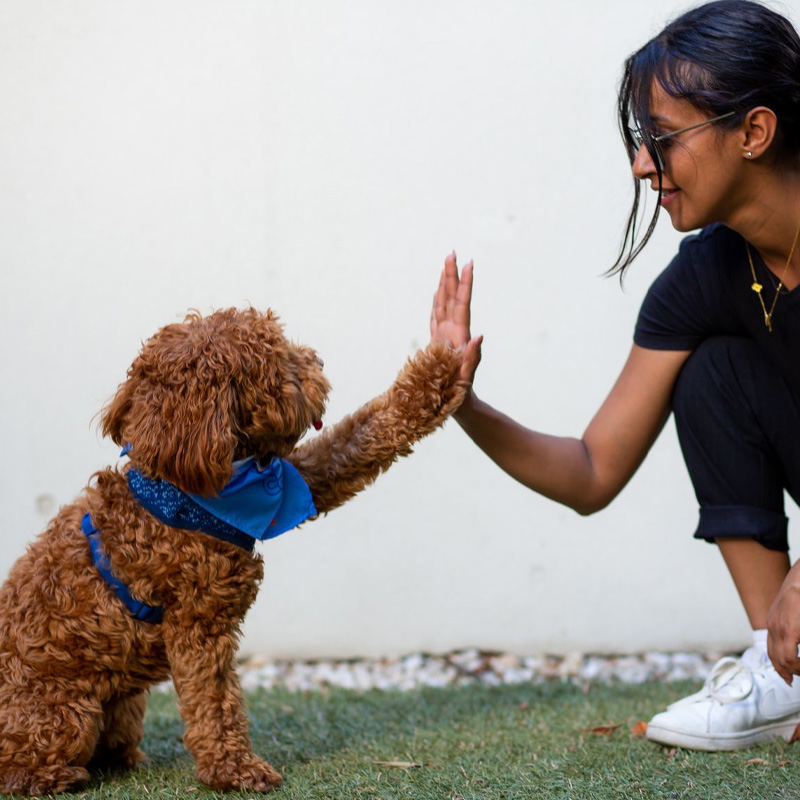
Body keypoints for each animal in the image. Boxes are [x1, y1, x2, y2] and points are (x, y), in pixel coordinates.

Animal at [0, 308, 462, 792]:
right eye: (279, 361)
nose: (318, 360)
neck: (184, 492)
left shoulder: (286, 487)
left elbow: (350, 443)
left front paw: (439, 371)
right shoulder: (199, 625)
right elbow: (215, 703)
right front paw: (235, 770)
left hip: (124, 706)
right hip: (66, 714)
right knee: (20, 767)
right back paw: (54, 775)